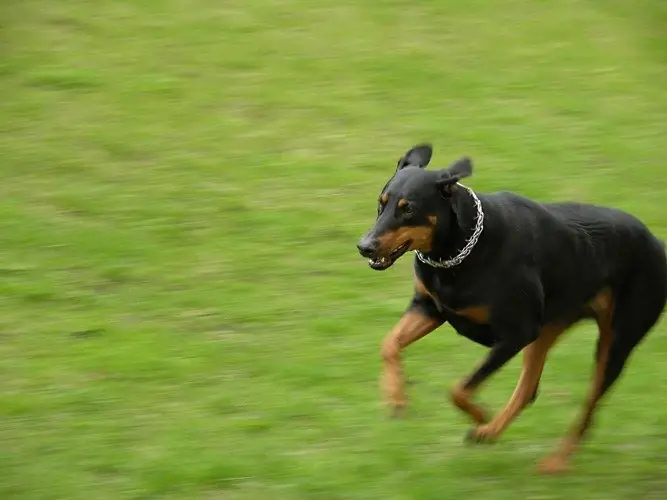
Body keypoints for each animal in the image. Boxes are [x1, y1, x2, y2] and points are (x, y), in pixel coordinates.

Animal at [360, 144, 667, 472]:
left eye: (408, 209)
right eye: (382, 203)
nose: (364, 246)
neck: (458, 251)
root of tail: (657, 243)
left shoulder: (517, 333)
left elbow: (459, 388)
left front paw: (481, 415)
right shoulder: (429, 308)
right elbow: (389, 344)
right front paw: (396, 400)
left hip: (614, 342)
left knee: (588, 408)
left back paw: (551, 460)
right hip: (548, 329)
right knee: (529, 390)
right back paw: (491, 432)